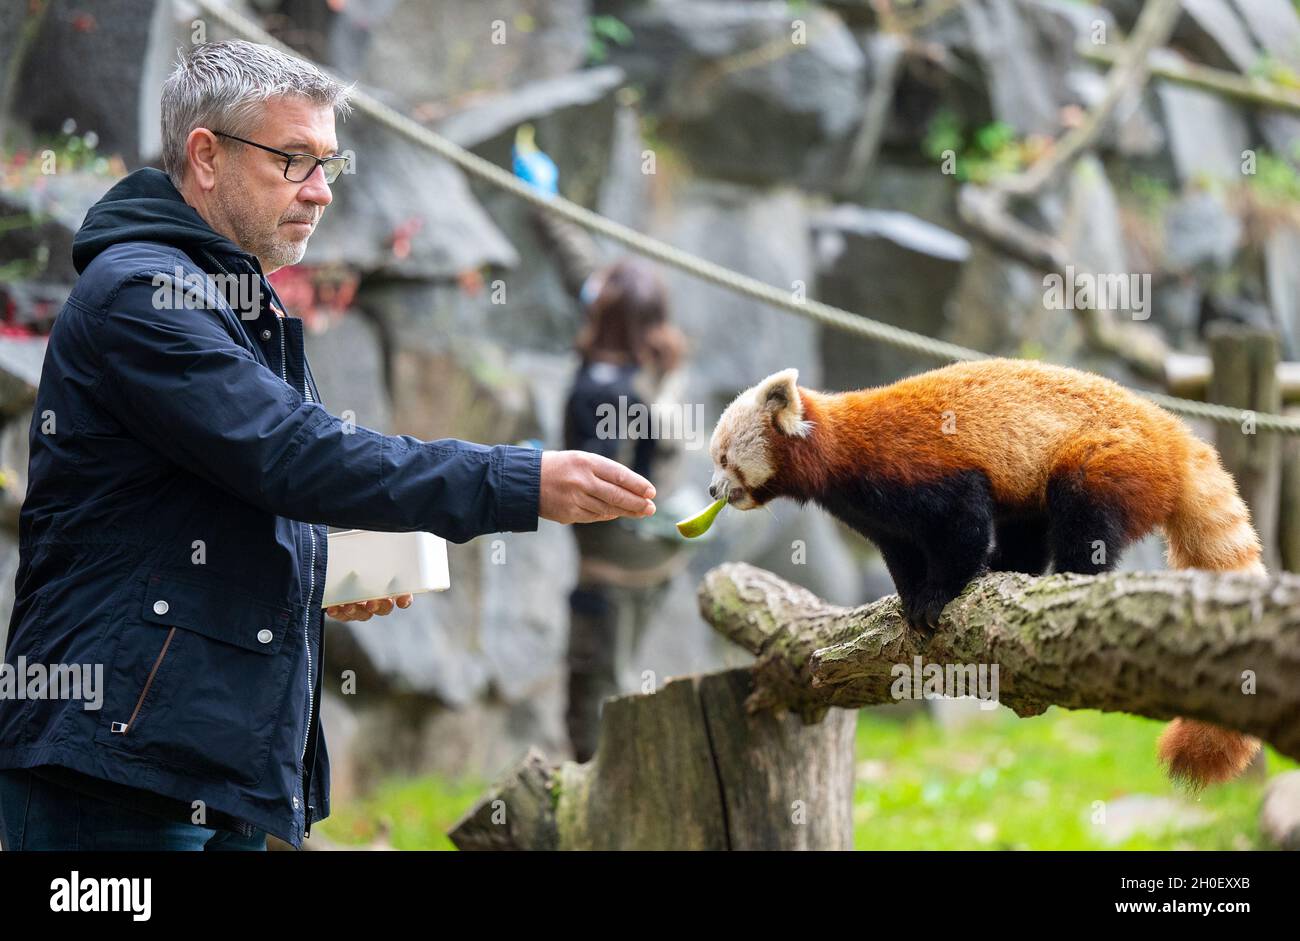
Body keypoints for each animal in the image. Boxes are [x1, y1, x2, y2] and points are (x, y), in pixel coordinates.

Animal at [712, 356, 1268, 790]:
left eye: (722, 456)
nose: (715, 490)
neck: (840, 452)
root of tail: (1175, 435)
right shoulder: (877, 518)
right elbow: (904, 553)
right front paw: (910, 603)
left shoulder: (923, 468)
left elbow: (964, 525)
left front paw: (938, 599)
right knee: (1030, 527)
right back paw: (1012, 570)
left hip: (1105, 460)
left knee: (1084, 521)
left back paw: (1069, 582)